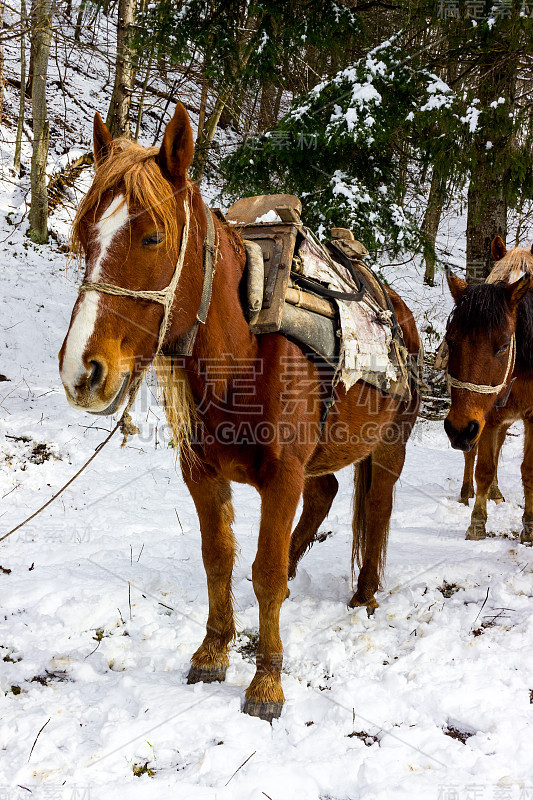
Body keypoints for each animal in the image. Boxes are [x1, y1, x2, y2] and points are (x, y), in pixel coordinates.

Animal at [59, 103, 420, 720]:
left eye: (153, 237)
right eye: (85, 237)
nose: (83, 372)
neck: (244, 352)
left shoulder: (282, 477)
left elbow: (265, 573)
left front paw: (267, 681)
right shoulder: (203, 475)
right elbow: (221, 560)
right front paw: (213, 650)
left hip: (389, 447)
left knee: (376, 509)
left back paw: (366, 592)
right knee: (325, 496)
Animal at [444, 234, 532, 540]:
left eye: (504, 345)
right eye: (450, 340)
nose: (459, 430)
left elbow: (528, 470)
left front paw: (529, 527)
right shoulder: (486, 417)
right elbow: (483, 467)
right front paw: (477, 523)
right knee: (474, 454)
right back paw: (467, 493)